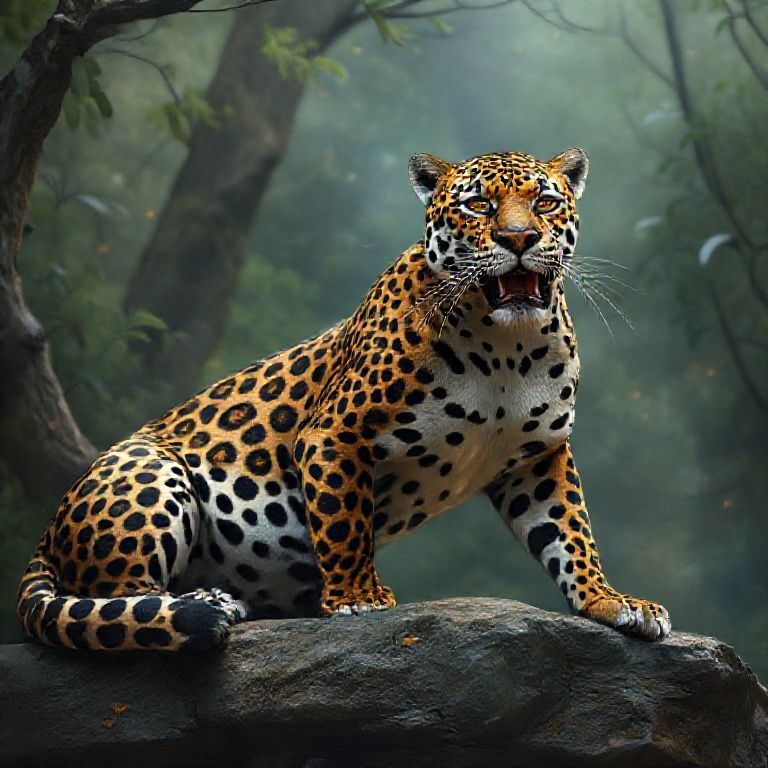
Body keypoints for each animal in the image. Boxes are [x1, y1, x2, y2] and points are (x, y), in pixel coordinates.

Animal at [17, 147, 671, 651]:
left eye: (544, 202)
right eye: (479, 206)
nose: (519, 238)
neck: (507, 347)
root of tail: (47, 532)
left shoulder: (538, 457)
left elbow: (572, 533)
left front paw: (610, 601)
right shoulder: (334, 434)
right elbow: (344, 521)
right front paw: (359, 599)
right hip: (148, 471)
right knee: (117, 601)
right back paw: (203, 601)